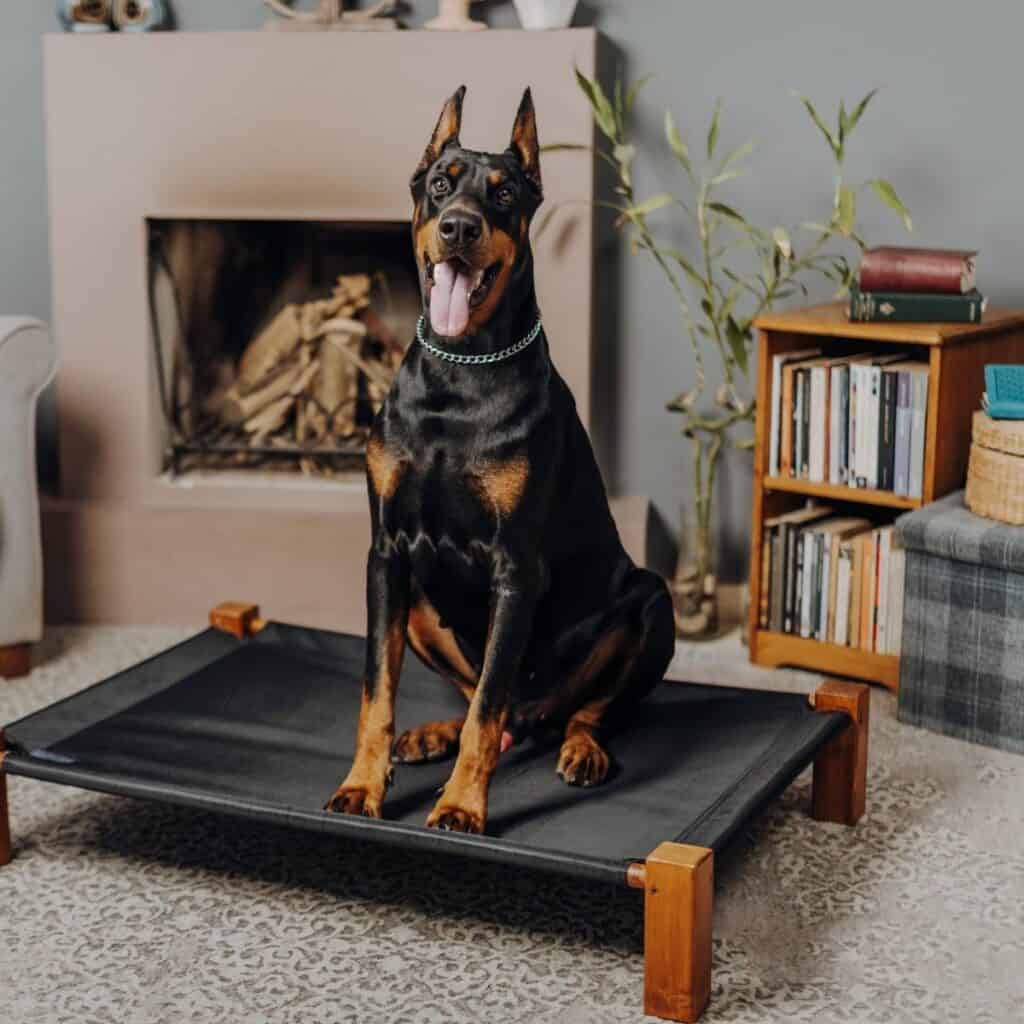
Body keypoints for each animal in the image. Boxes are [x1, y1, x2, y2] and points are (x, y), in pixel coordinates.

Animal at [323, 88, 675, 835]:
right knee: (489, 702)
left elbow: (487, 709)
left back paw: (581, 749)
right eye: (439, 184)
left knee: (573, 710)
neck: (458, 374)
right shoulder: (386, 555)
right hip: (420, 603)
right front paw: (362, 786)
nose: (458, 227)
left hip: (649, 603)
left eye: (504, 192)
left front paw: (460, 806)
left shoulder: (517, 567)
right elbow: (377, 691)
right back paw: (433, 734)